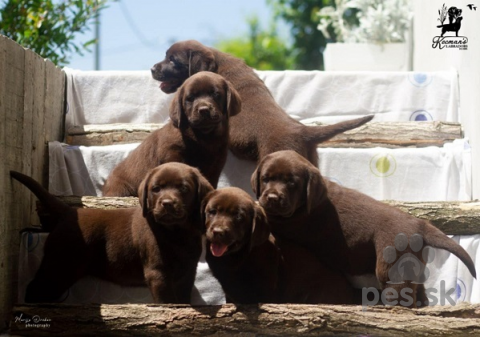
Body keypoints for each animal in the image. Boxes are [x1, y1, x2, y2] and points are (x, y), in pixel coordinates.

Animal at [8, 161, 212, 304]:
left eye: (184, 188)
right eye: (156, 189)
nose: (167, 203)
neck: (177, 232)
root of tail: (69, 211)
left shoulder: (187, 271)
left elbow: (183, 299)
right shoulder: (158, 272)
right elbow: (167, 302)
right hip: (60, 264)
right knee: (34, 289)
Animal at [103, 71, 242, 197]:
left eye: (216, 94)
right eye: (190, 98)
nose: (203, 110)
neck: (205, 135)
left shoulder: (217, 162)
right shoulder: (172, 153)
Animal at [251, 150, 476, 308]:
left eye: (291, 183)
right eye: (265, 179)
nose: (272, 197)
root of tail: (421, 225)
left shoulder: (284, 219)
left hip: (391, 266)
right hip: (413, 264)